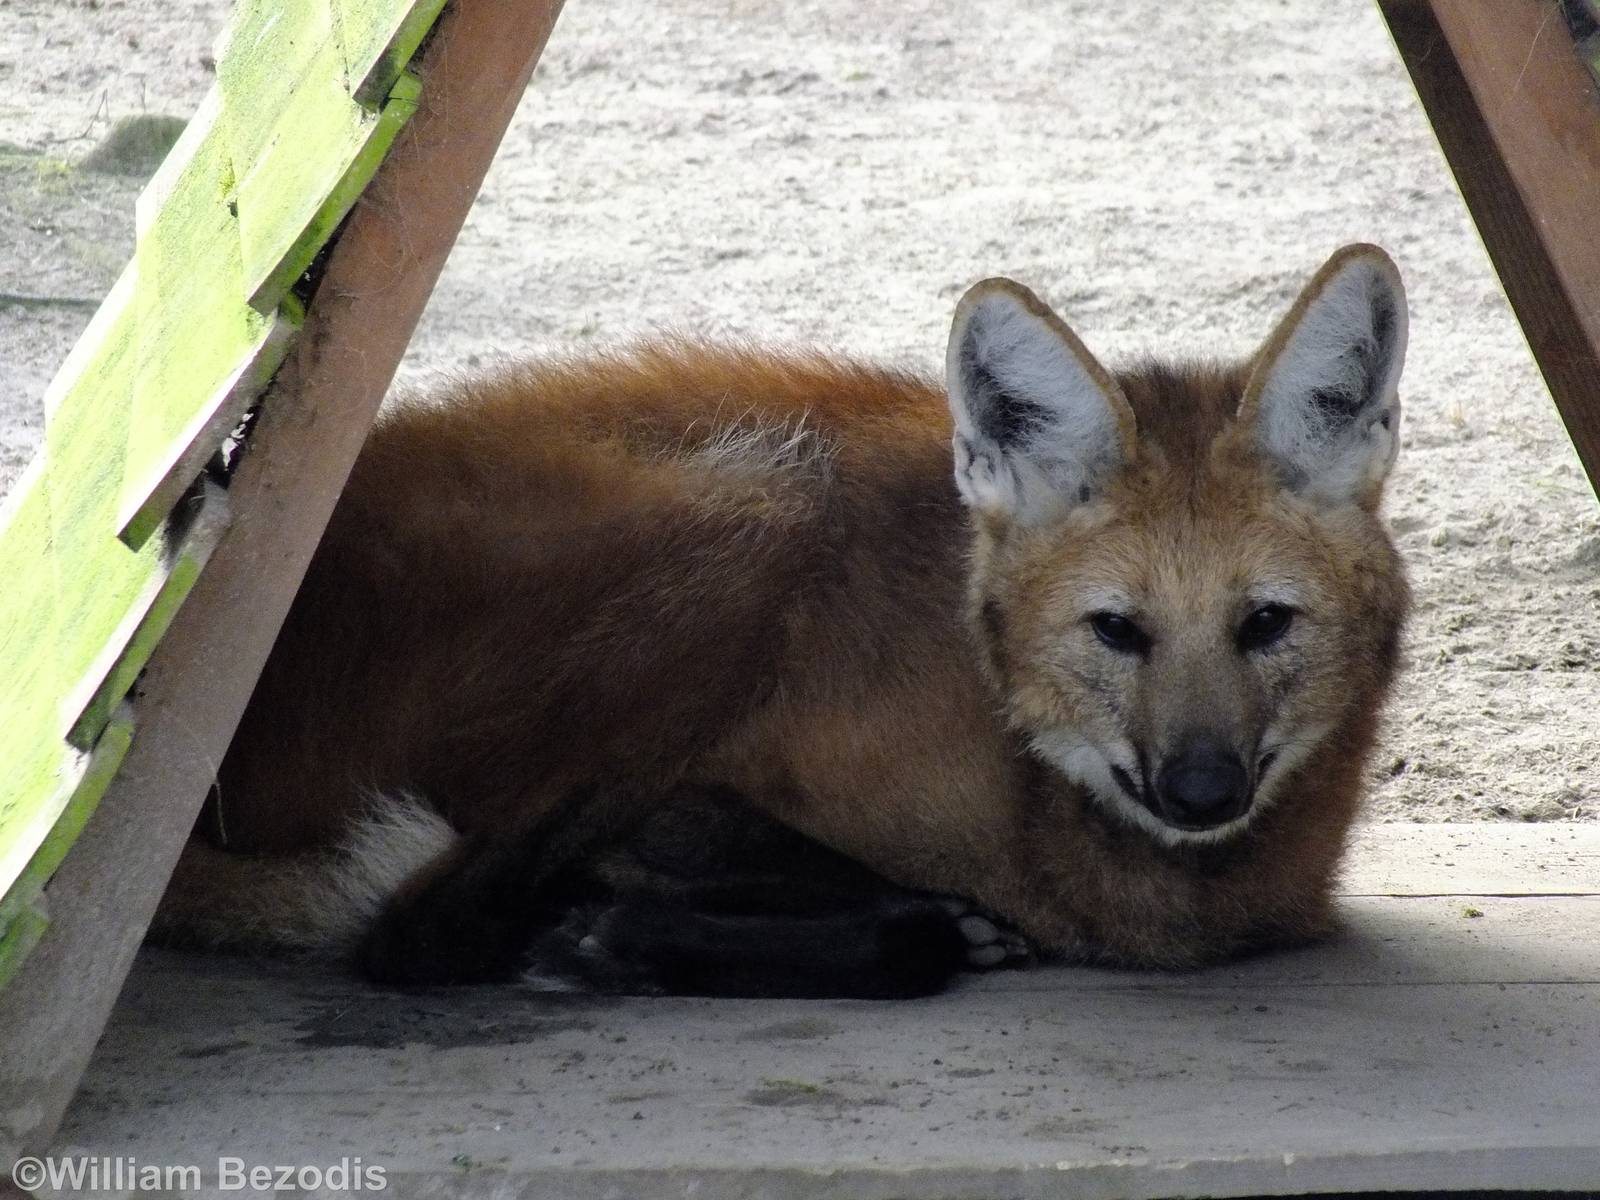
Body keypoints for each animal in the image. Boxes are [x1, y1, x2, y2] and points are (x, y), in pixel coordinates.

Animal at [154, 244, 1411, 997]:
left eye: (1264, 624)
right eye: (1118, 630)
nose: (1201, 791)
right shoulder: (711, 778)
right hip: (753, 501)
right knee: (420, 927)